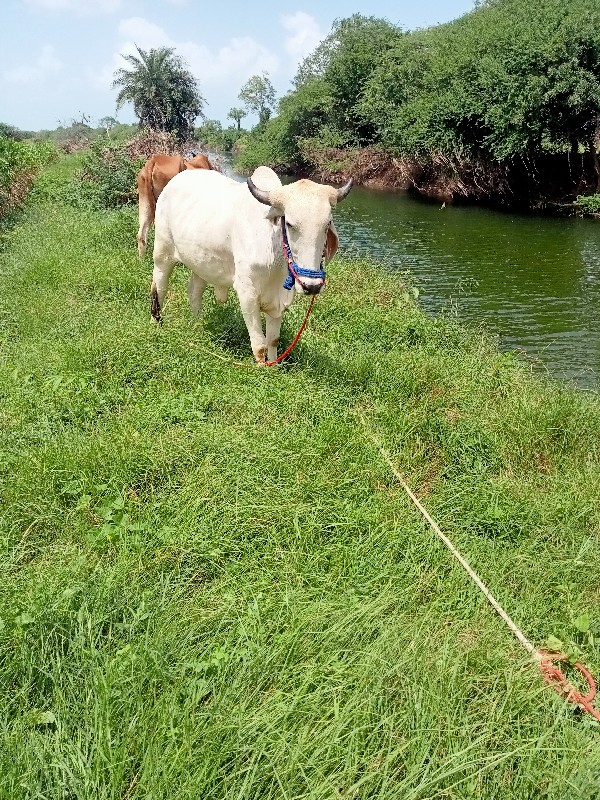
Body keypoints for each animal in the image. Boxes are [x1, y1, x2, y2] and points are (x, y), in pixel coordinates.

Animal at [150, 167, 354, 364]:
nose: (311, 286)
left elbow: (273, 341)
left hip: (201, 264)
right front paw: (262, 367)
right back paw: (156, 323)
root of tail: (177, 179)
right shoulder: (247, 294)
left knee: (194, 292)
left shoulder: (279, 302)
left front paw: (274, 367)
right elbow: (260, 344)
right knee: (158, 287)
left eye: (327, 224)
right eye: (289, 223)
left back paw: (198, 325)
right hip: (162, 252)